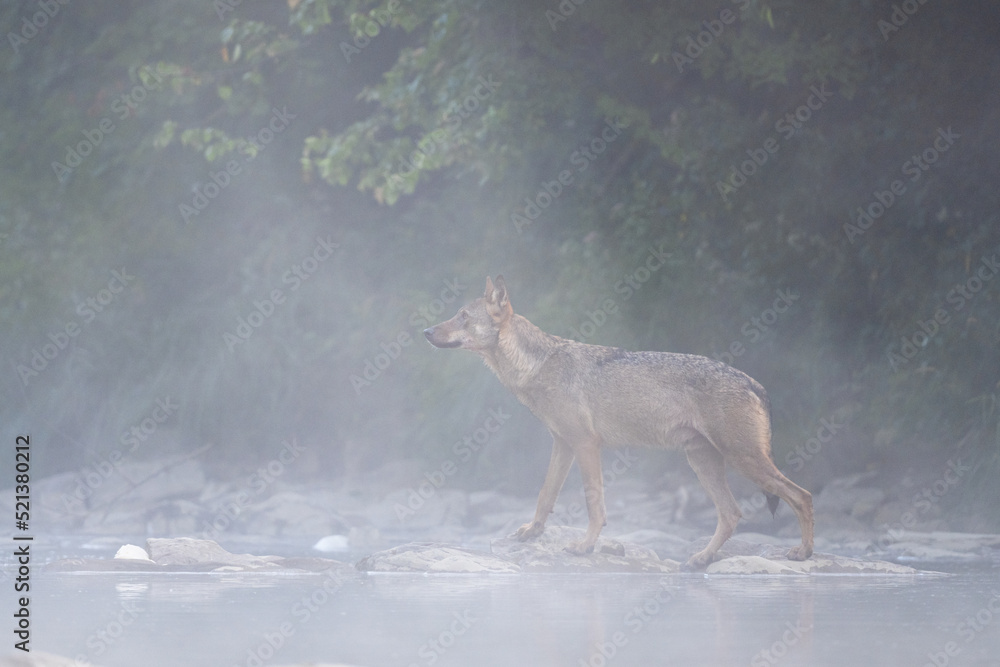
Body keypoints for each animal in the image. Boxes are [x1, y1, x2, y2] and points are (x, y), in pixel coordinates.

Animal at [423, 275, 813, 568]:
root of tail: (754, 383)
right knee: (732, 514)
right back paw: (700, 559)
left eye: (462, 315)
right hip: (703, 462)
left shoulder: (586, 445)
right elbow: (545, 495)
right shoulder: (561, 444)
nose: (426, 331)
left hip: (743, 461)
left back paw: (804, 553)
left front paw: (584, 547)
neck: (535, 366)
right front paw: (533, 532)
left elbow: (594, 505)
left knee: (802, 496)